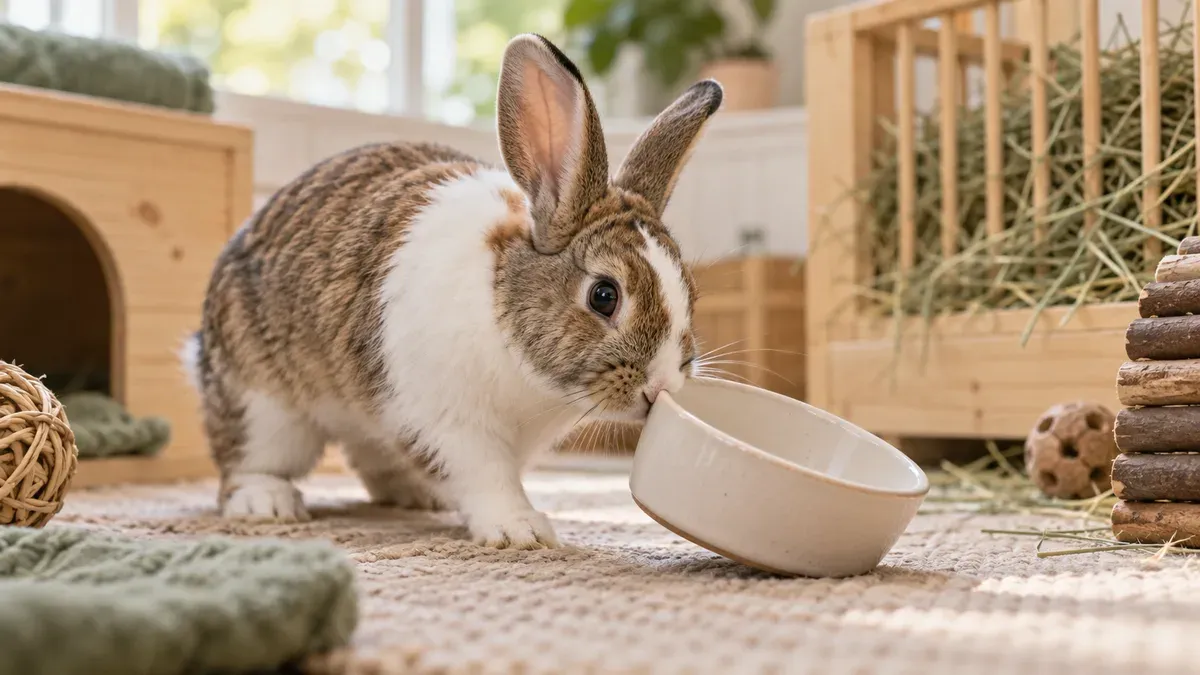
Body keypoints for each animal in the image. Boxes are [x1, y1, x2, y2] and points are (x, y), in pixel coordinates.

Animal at [182, 33, 723, 549]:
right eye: (604, 296)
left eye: (690, 291)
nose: (660, 386)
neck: (502, 307)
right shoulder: (450, 423)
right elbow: (487, 477)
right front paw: (520, 530)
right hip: (263, 405)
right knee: (247, 461)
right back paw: (266, 502)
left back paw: (414, 495)